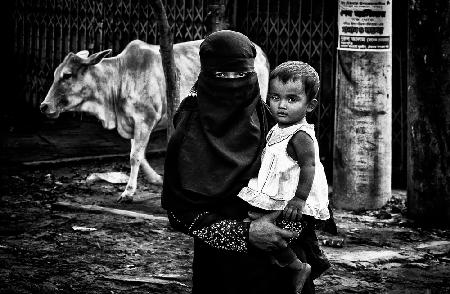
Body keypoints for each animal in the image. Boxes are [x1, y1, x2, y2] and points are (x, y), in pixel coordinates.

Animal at [40, 38, 268, 202]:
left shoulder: (145, 119)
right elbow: (138, 153)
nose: (44, 106)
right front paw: (156, 179)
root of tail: (259, 50)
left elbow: (134, 156)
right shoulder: (132, 123)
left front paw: (128, 192)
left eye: (67, 75)